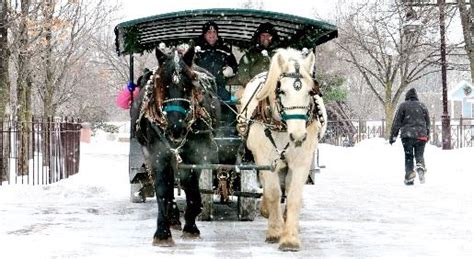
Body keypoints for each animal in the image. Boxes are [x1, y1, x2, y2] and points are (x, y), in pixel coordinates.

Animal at [131, 46, 218, 248]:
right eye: (162, 84)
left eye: (189, 84)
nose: (176, 127)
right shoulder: (158, 154)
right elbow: (163, 189)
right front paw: (162, 233)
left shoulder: (195, 154)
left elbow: (191, 188)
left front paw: (191, 227)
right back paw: (172, 217)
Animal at [239, 48, 328, 252]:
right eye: (282, 91)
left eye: (310, 92)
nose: (298, 136)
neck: (282, 126)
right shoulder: (265, 158)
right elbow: (273, 192)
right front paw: (275, 230)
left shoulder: (301, 161)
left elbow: (294, 195)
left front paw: (290, 238)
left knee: (286, 185)